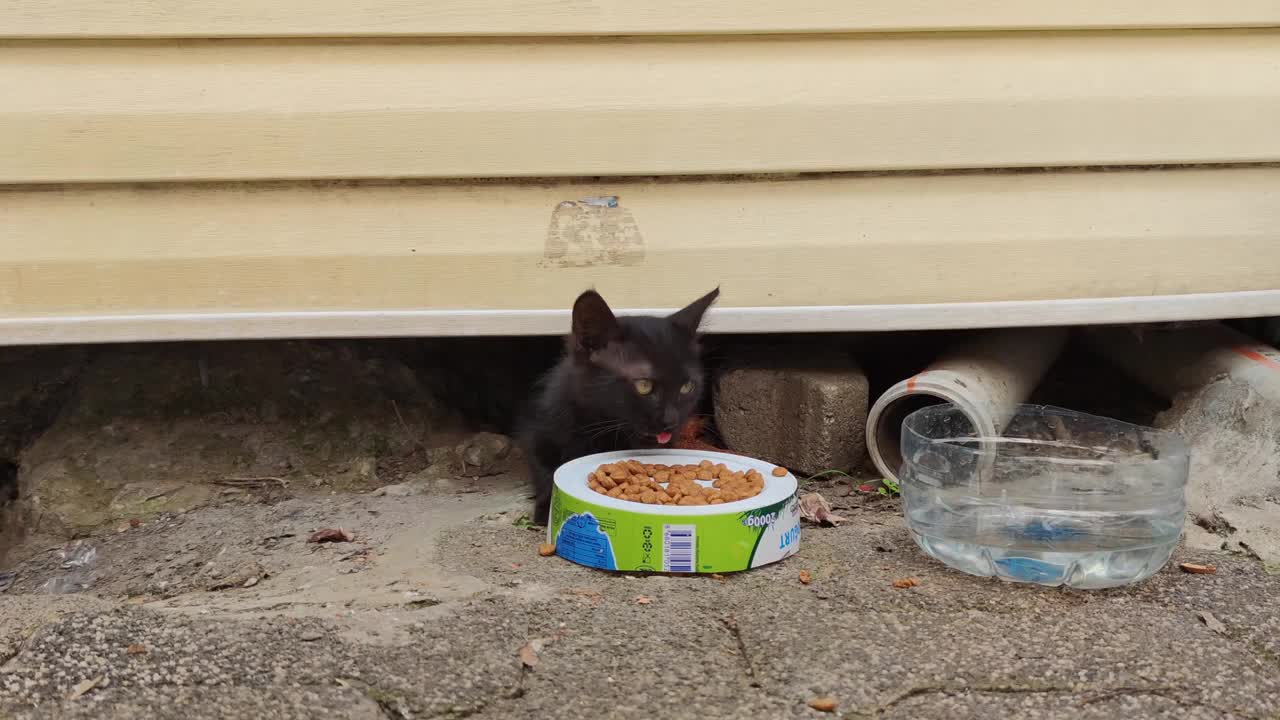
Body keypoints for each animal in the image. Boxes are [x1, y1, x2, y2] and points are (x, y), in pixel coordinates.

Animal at [517, 285, 721, 520]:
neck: (599, 426)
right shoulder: (538, 427)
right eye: (644, 385)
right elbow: (542, 465)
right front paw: (547, 505)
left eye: (687, 387)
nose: (671, 421)